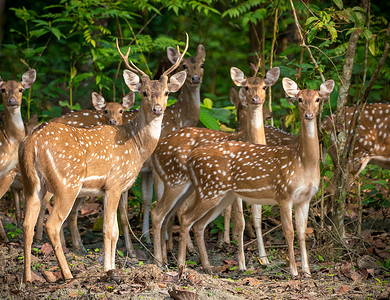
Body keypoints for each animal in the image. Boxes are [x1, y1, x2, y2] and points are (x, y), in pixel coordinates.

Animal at [19, 36, 188, 282]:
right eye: (144, 93)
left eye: (167, 92)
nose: (157, 109)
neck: (136, 145)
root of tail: (31, 143)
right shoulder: (115, 183)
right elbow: (109, 230)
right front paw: (109, 270)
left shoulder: (111, 188)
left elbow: (115, 231)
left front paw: (112, 267)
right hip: (66, 183)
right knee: (52, 224)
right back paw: (67, 274)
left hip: (32, 183)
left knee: (26, 224)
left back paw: (28, 278)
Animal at [149, 67, 280, 266]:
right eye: (247, 87)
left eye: (264, 86)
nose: (256, 99)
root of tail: (156, 151)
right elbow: (240, 221)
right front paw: (241, 262)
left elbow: (257, 219)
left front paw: (263, 259)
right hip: (175, 181)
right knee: (162, 213)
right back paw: (163, 260)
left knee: (168, 213)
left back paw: (168, 256)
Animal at [176, 78, 336, 276]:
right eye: (299, 99)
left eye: (317, 99)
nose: (308, 115)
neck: (302, 162)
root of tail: (191, 157)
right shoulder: (283, 193)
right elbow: (289, 232)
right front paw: (293, 271)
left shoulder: (305, 198)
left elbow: (302, 232)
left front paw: (306, 271)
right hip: (210, 190)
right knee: (186, 218)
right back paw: (181, 265)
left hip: (222, 195)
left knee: (198, 224)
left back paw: (207, 266)